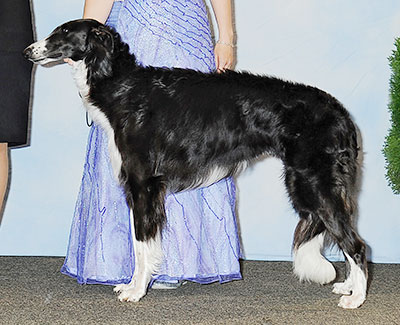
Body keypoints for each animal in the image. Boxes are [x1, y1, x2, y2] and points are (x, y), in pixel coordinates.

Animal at [24, 19, 368, 308]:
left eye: (63, 32)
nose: (29, 51)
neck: (121, 86)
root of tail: (341, 113)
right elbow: (144, 244)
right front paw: (135, 285)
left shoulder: (142, 184)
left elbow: (140, 244)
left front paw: (135, 291)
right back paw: (348, 286)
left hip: (314, 183)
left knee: (357, 245)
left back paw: (356, 298)